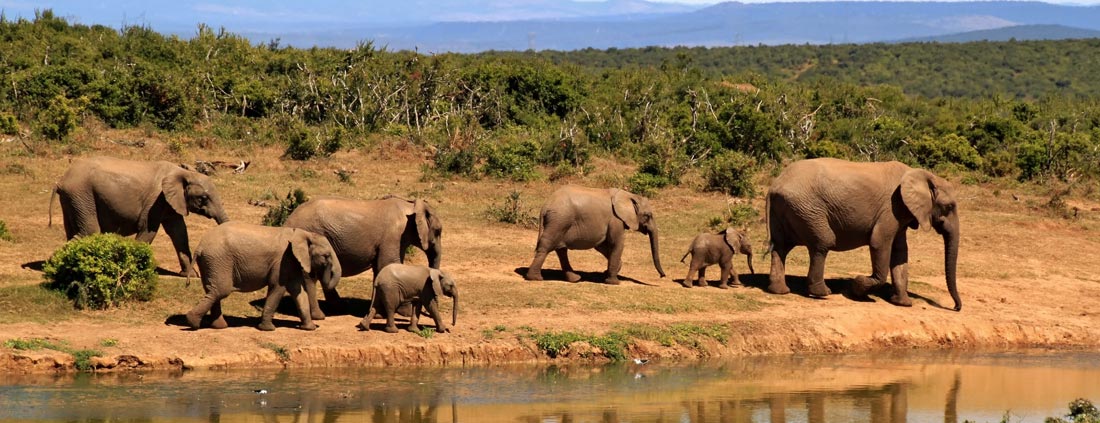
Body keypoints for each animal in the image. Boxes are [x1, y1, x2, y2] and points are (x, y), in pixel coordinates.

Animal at [50, 156, 229, 274]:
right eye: (203, 198)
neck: (183, 173)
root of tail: (61, 181)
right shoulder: (156, 201)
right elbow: (148, 231)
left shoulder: (171, 203)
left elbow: (179, 233)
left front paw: (190, 276)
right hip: (81, 194)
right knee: (89, 231)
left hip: (73, 198)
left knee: (74, 231)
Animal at [184, 220, 341, 329]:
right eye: (326, 256)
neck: (303, 234)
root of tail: (199, 247)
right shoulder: (282, 261)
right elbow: (278, 287)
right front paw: (268, 329)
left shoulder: (290, 262)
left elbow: (298, 291)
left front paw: (310, 328)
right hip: (218, 260)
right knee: (221, 290)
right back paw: (192, 322)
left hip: (211, 262)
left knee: (213, 290)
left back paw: (219, 326)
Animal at [281, 193, 444, 312]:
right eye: (438, 231)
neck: (411, 205)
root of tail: (288, 220)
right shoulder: (393, 236)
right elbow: (388, 264)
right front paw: (404, 312)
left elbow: (381, 268)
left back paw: (339, 307)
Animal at [521, 184, 660, 283]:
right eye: (647, 216)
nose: (662, 276)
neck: (629, 195)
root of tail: (545, 206)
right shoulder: (615, 219)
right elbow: (616, 243)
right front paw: (613, 281)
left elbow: (601, 245)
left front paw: (609, 271)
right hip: (559, 220)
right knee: (547, 245)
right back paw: (536, 278)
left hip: (560, 222)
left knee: (561, 249)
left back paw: (575, 279)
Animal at [765, 158, 963, 309]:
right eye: (949, 206)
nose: (955, 307)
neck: (922, 175)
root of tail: (774, 186)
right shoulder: (892, 208)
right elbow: (879, 242)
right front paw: (857, 288)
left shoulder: (901, 213)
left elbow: (900, 253)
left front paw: (903, 303)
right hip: (807, 209)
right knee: (823, 242)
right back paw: (822, 293)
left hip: (788, 209)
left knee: (781, 246)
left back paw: (780, 291)